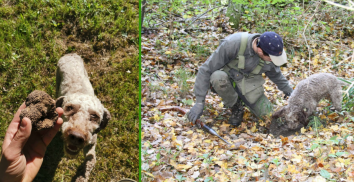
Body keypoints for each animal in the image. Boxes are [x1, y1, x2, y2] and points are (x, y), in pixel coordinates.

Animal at [55, 53, 110, 182]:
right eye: (69, 108)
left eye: (94, 116)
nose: (76, 137)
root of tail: (71, 54)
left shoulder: (91, 144)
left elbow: (91, 159)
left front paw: (81, 176)